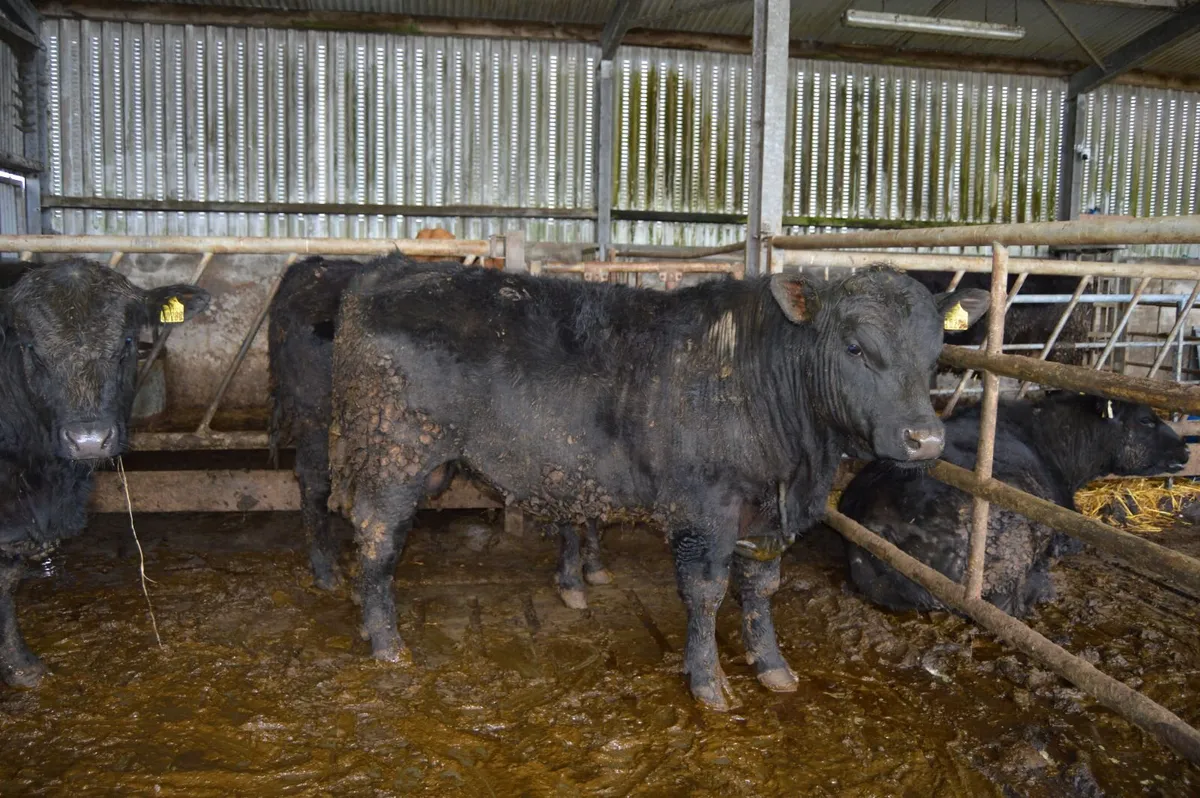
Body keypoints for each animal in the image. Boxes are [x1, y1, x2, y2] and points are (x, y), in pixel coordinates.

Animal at [325, 264, 990, 710]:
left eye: (937, 353)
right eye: (855, 346)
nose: (925, 439)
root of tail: (386, 269)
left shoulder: (766, 517)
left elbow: (760, 591)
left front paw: (772, 666)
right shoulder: (704, 509)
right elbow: (706, 593)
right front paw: (707, 682)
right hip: (393, 457)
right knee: (378, 540)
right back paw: (386, 642)